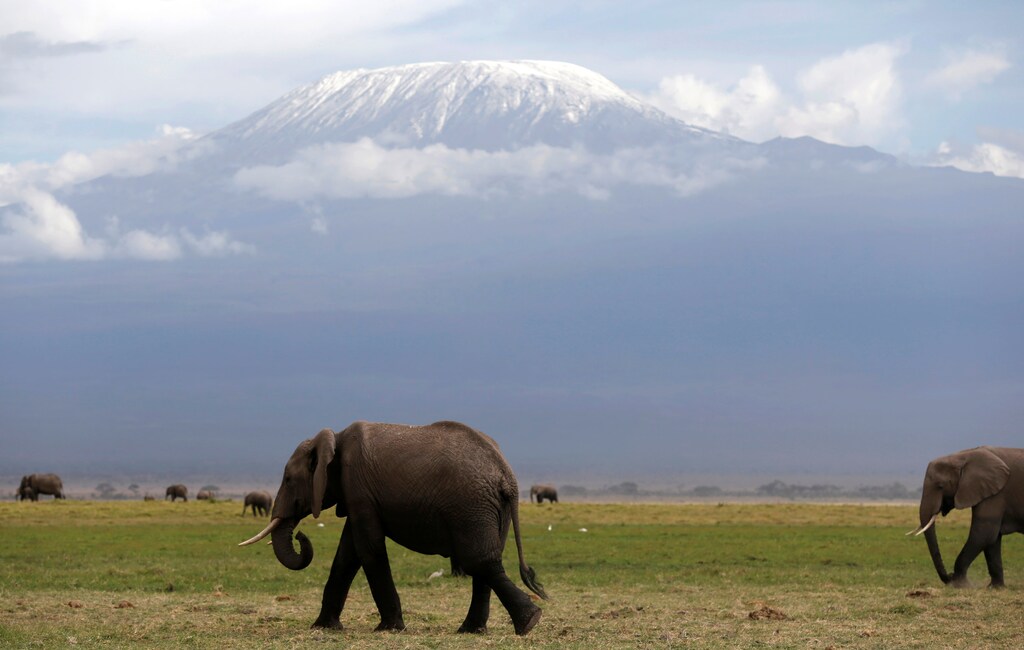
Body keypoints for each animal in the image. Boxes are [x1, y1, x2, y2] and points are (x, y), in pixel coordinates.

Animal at [239, 420, 547, 635]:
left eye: (289, 479)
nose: (301, 534)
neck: (334, 438)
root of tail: (506, 474)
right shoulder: (356, 497)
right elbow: (347, 555)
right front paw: (323, 627)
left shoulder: (359, 488)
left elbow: (368, 548)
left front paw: (389, 628)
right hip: (491, 508)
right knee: (486, 562)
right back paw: (474, 630)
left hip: (472, 506)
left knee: (480, 561)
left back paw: (528, 622)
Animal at [909, 446, 1024, 588]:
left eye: (940, 486)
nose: (949, 576)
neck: (963, 456)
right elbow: (992, 540)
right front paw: (994, 588)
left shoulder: (997, 494)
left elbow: (983, 534)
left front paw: (959, 584)